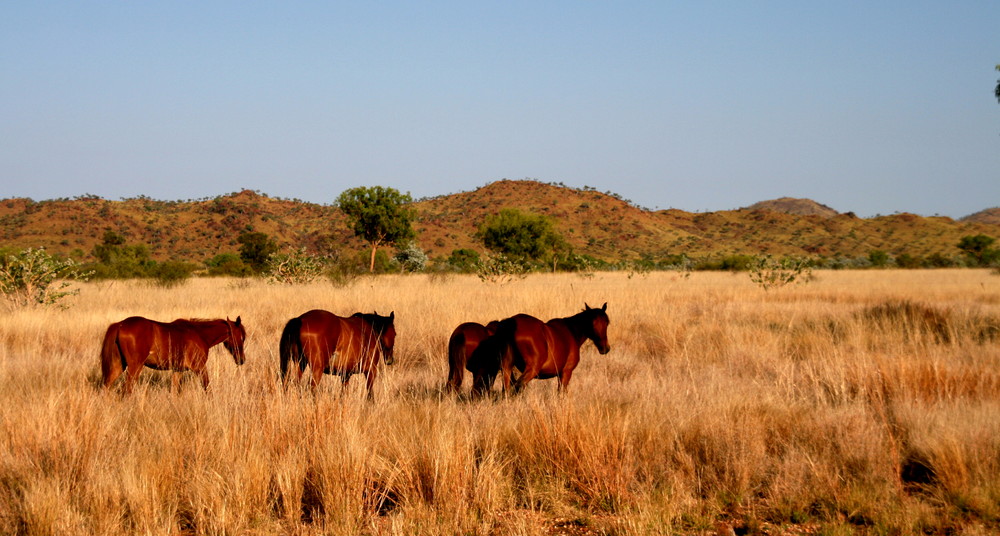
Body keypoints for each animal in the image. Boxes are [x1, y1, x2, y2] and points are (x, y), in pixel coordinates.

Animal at [99, 314, 246, 394]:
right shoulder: (200, 368)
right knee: (126, 390)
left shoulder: (177, 370)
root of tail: (120, 325)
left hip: (119, 366)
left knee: (106, 386)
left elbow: (174, 392)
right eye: (242, 337)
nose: (241, 360)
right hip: (135, 367)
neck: (200, 334)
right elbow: (207, 389)